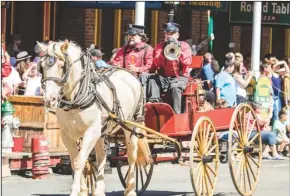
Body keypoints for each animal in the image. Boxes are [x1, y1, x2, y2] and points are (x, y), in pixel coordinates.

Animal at [37, 40, 151, 196]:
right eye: (41, 67)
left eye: (61, 66)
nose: (50, 99)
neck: (76, 97)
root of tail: (129, 73)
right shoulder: (67, 134)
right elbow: (77, 161)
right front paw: (83, 190)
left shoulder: (91, 131)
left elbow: (79, 161)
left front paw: (75, 191)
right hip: (102, 132)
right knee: (102, 156)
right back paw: (99, 190)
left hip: (132, 125)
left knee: (131, 155)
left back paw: (131, 189)